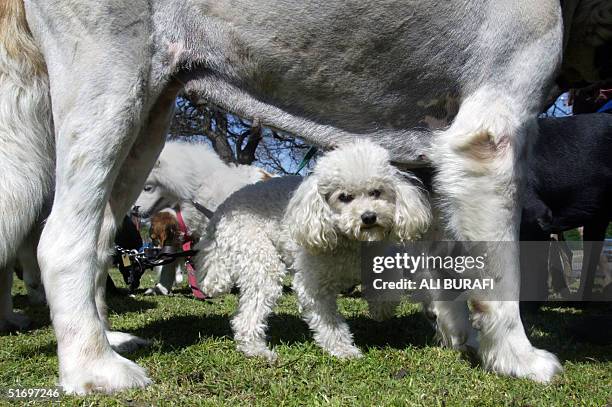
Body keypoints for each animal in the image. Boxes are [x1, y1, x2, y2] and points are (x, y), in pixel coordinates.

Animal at [196, 140, 430, 360]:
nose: (369, 217)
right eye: (344, 197)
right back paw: (255, 349)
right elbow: (329, 322)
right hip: (257, 254)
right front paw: (343, 349)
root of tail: (222, 209)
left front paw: (381, 310)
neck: (351, 242)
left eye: (376, 192)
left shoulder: (379, 256)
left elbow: (387, 285)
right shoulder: (314, 286)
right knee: (248, 313)